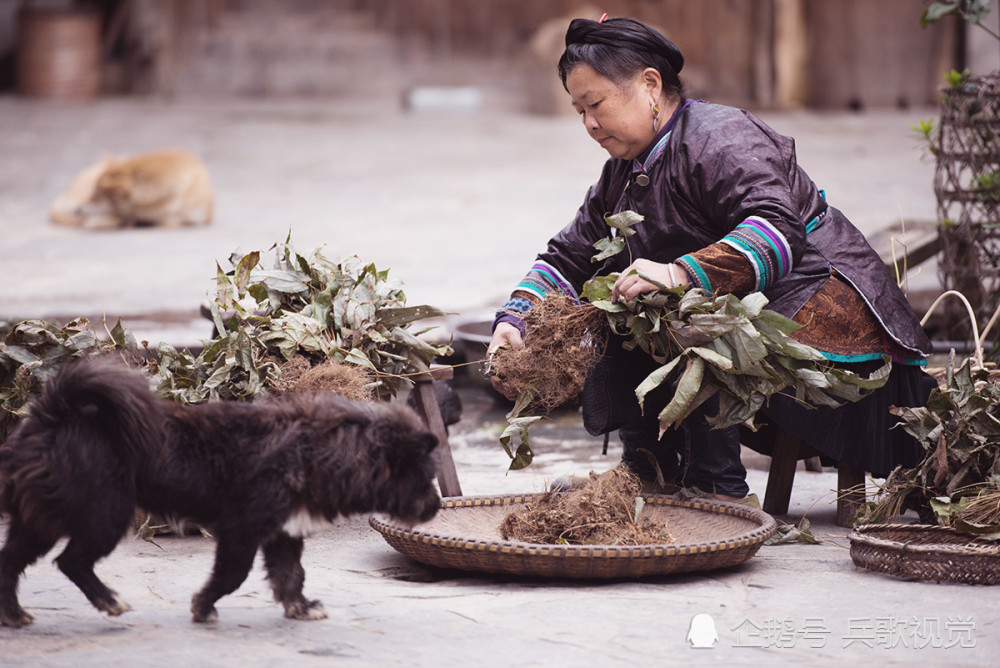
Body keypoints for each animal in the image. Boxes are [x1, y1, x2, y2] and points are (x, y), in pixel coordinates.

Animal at [0, 360, 438, 628]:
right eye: (425, 477)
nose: (435, 508)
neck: (319, 450)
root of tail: (55, 414)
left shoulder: (283, 533)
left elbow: (291, 576)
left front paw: (299, 608)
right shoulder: (241, 529)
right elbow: (232, 574)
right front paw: (203, 606)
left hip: (41, 518)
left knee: (11, 562)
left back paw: (15, 615)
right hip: (105, 515)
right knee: (71, 561)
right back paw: (109, 601)